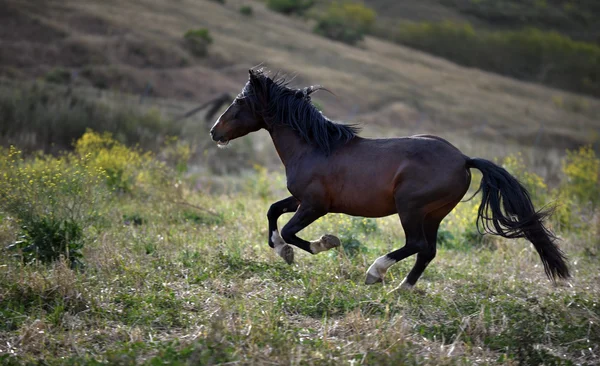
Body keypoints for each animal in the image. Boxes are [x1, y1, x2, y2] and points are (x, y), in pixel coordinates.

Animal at [211, 67, 572, 288]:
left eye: (240, 101)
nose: (215, 132)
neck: (313, 147)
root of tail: (464, 160)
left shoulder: (315, 205)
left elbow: (289, 230)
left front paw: (320, 244)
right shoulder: (300, 199)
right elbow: (272, 211)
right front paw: (282, 250)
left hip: (411, 207)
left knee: (416, 244)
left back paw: (375, 272)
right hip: (434, 213)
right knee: (427, 251)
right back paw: (402, 288)